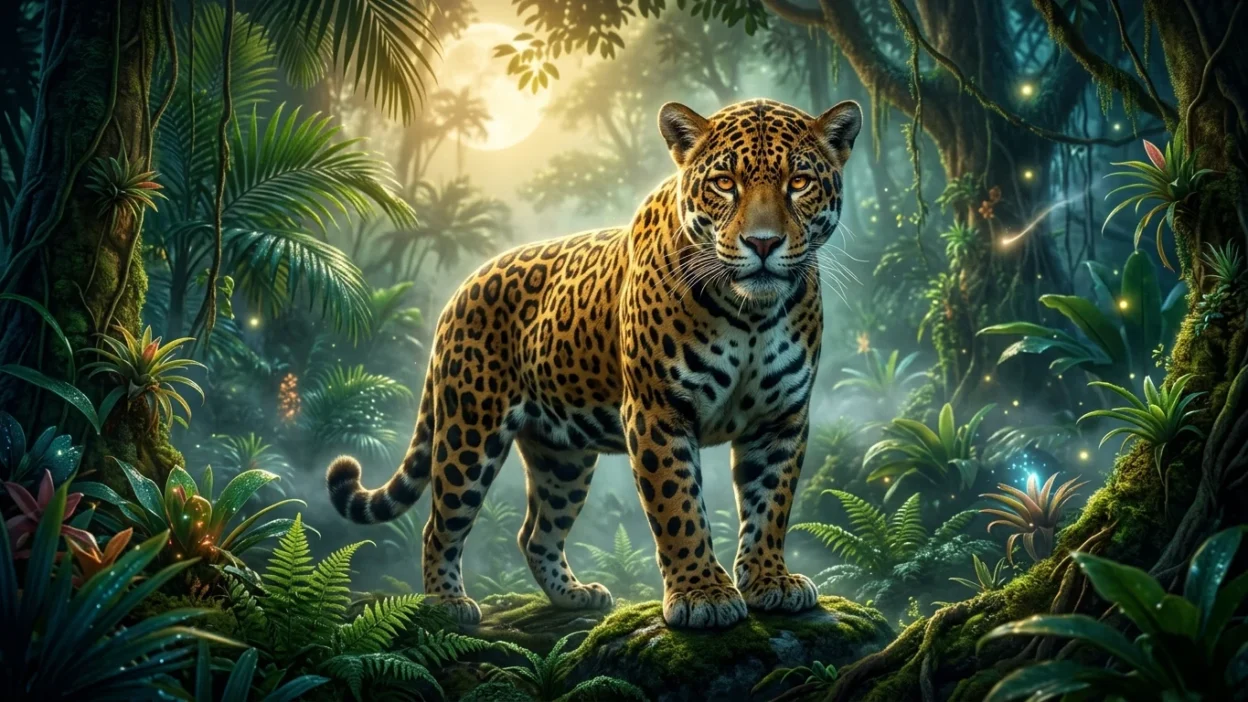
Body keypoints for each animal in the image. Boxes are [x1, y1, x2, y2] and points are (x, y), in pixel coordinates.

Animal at [326, 97, 863, 629]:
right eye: (724, 183)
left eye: (799, 182)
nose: (764, 243)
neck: (750, 313)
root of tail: (460, 289)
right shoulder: (656, 412)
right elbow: (679, 508)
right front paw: (702, 594)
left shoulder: (781, 418)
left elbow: (770, 504)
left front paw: (770, 581)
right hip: (469, 433)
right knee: (440, 525)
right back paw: (446, 604)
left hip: (562, 457)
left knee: (535, 533)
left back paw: (574, 596)